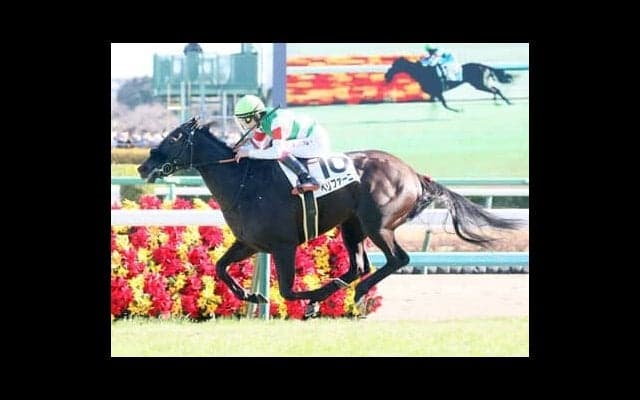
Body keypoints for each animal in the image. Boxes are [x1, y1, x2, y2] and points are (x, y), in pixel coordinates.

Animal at [138, 118, 522, 317]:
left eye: (175, 137)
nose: (143, 165)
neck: (245, 181)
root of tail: (413, 173)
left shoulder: (283, 245)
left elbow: (289, 289)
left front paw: (308, 297)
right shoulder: (250, 242)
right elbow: (220, 268)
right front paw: (252, 296)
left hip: (378, 224)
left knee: (397, 259)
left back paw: (355, 292)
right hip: (351, 226)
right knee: (358, 265)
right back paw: (340, 289)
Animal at [384, 57, 514, 112]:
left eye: (395, 66)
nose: (386, 76)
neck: (423, 72)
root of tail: (483, 66)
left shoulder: (438, 91)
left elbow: (445, 104)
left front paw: (458, 110)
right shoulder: (433, 94)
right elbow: (436, 104)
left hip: (479, 84)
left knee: (495, 90)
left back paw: (506, 102)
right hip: (479, 84)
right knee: (495, 89)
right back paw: (499, 102)